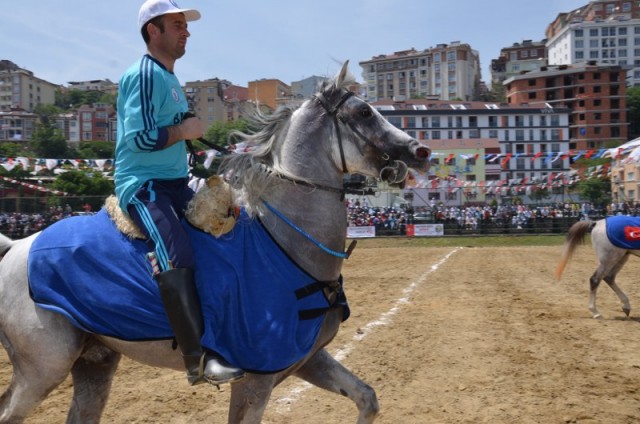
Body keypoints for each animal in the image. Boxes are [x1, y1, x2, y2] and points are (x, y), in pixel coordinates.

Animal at [0, 61, 432, 422]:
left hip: (95, 362)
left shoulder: (308, 359)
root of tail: (17, 247)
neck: (284, 242)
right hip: (43, 370)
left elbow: (367, 398)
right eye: (364, 112)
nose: (421, 150)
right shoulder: (255, 381)